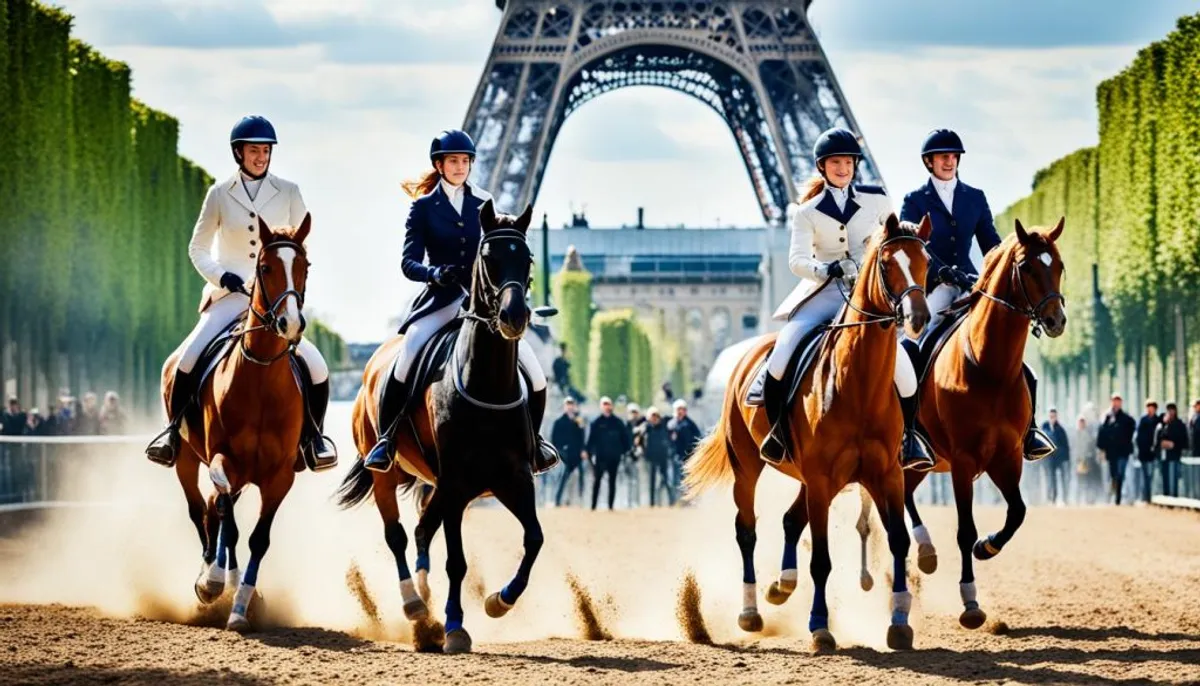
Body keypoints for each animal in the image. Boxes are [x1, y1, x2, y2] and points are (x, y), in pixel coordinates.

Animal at [169, 214, 319, 633]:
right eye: (265, 268)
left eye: (305, 266)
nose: (290, 324)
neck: (261, 377)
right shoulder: (224, 459)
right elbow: (226, 518)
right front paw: (215, 584)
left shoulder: (279, 476)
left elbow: (257, 539)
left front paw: (240, 606)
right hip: (185, 459)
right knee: (201, 509)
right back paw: (210, 579)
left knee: (216, 512)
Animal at [691, 215, 931, 652]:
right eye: (888, 264)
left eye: (925, 262)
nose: (917, 318)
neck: (860, 382)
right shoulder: (822, 479)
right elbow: (821, 559)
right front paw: (820, 627)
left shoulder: (887, 475)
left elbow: (899, 541)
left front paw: (900, 623)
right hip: (748, 469)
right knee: (747, 531)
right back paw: (751, 611)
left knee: (790, 520)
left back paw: (782, 585)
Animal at [883, 219, 1070, 633]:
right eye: (1027, 267)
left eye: (1060, 265)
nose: (1056, 321)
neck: (990, 368)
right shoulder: (964, 462)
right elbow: (964, 527)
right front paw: (970, 602)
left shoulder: (1007, 458)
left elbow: (1017, 512)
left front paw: (987, 547)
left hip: (923, 463)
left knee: (906, 497)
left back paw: (925, 553)